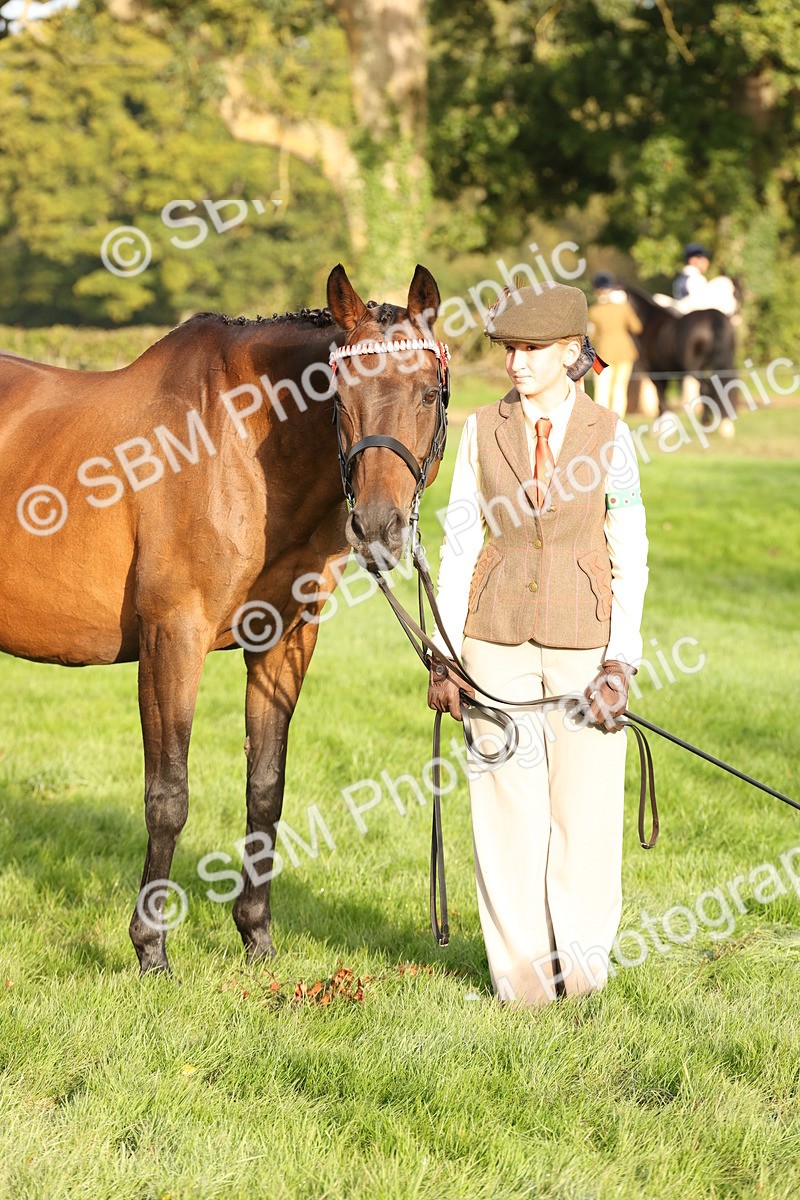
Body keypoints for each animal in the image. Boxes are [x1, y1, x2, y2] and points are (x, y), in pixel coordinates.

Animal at [0, 263, 447, 973]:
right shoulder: (172, 639)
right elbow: (168, 795)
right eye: (339, 396)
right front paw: (151, 949)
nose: (378, 527)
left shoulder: (284, 641)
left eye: (429, 393)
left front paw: (256, 937)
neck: (231, 446)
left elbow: (265, 786)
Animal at [624, 283, 737, 425]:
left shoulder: (654, 371)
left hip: (693, 368)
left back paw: (705, 421)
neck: (648, 320)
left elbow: (660, 397)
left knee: (706, 388)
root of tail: (712, 316)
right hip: (724, 363)